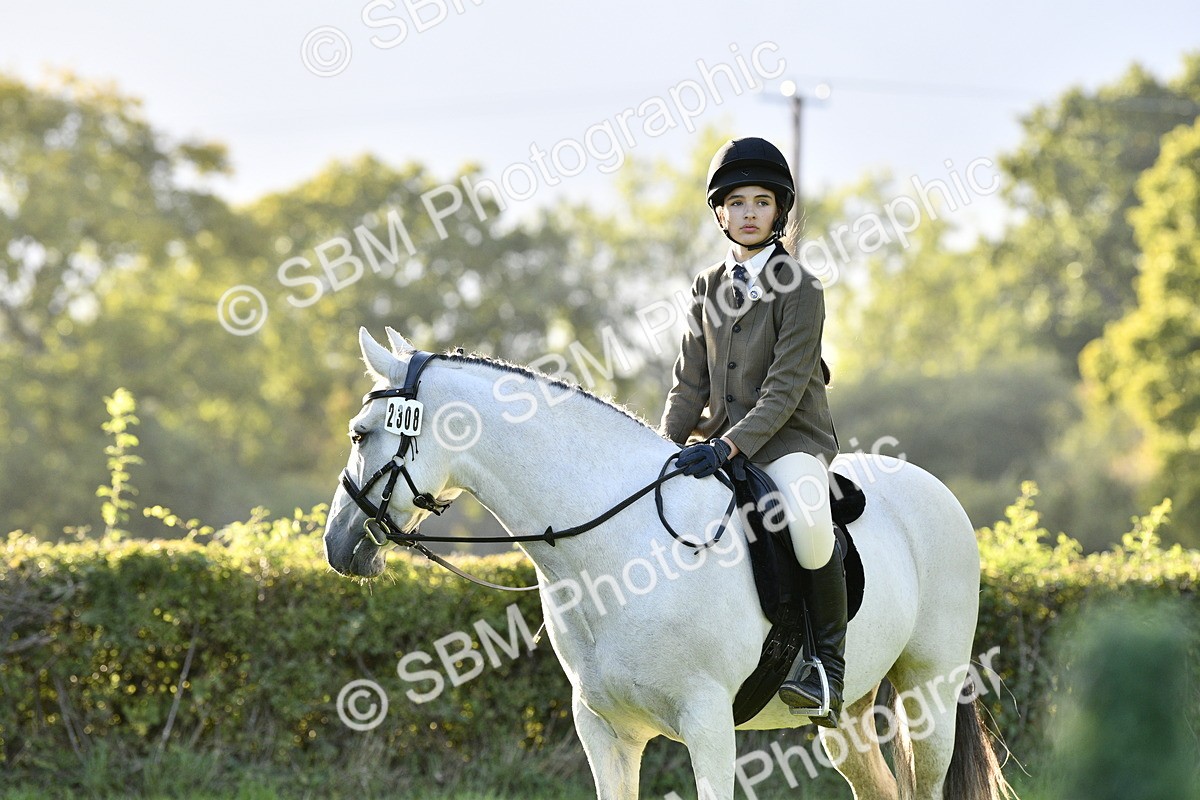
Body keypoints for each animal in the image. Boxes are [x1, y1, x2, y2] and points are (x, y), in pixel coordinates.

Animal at [323, 327, 1013, 800]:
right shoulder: (605, 731)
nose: (337, 545)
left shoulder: (707, 726)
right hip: (848, 715)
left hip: (928, 691)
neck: (616, 555)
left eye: (360, 433)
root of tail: (934, 488)